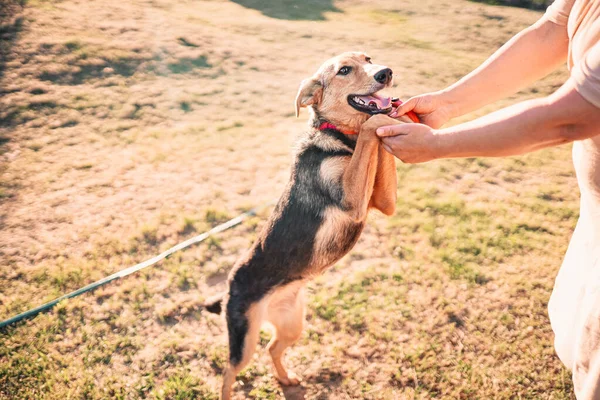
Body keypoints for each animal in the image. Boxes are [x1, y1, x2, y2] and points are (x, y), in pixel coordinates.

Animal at [205, 51, 408, 398]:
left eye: (368, 58)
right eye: (344, 70)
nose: (386, 72)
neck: (340, 137)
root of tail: (228, 287)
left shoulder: (383, 201)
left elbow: (378, 136)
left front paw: (394, 113)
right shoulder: (351, 201)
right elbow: (371, 127)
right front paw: (382, 118)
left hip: (293, 324)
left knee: (272, 348)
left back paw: (286, 379)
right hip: (244, 339)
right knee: (229, 371)